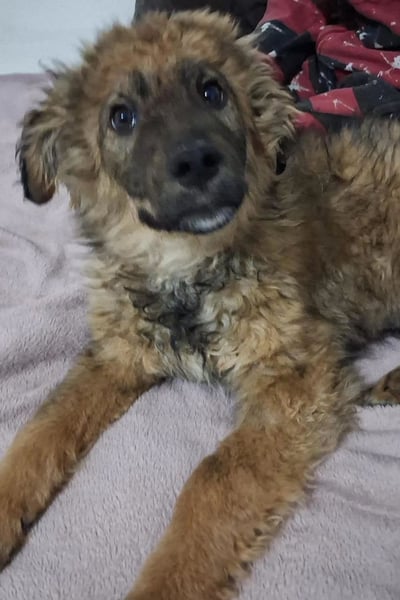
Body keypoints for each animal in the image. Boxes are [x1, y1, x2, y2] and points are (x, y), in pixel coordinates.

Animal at [1, 9, 400, 599]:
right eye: (121, 117)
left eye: (212, 91)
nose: (195, 161)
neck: (185, 269)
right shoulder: (117, 354)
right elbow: (41, 428)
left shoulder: (295, 382)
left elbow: (214, 477)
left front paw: (167, 583)